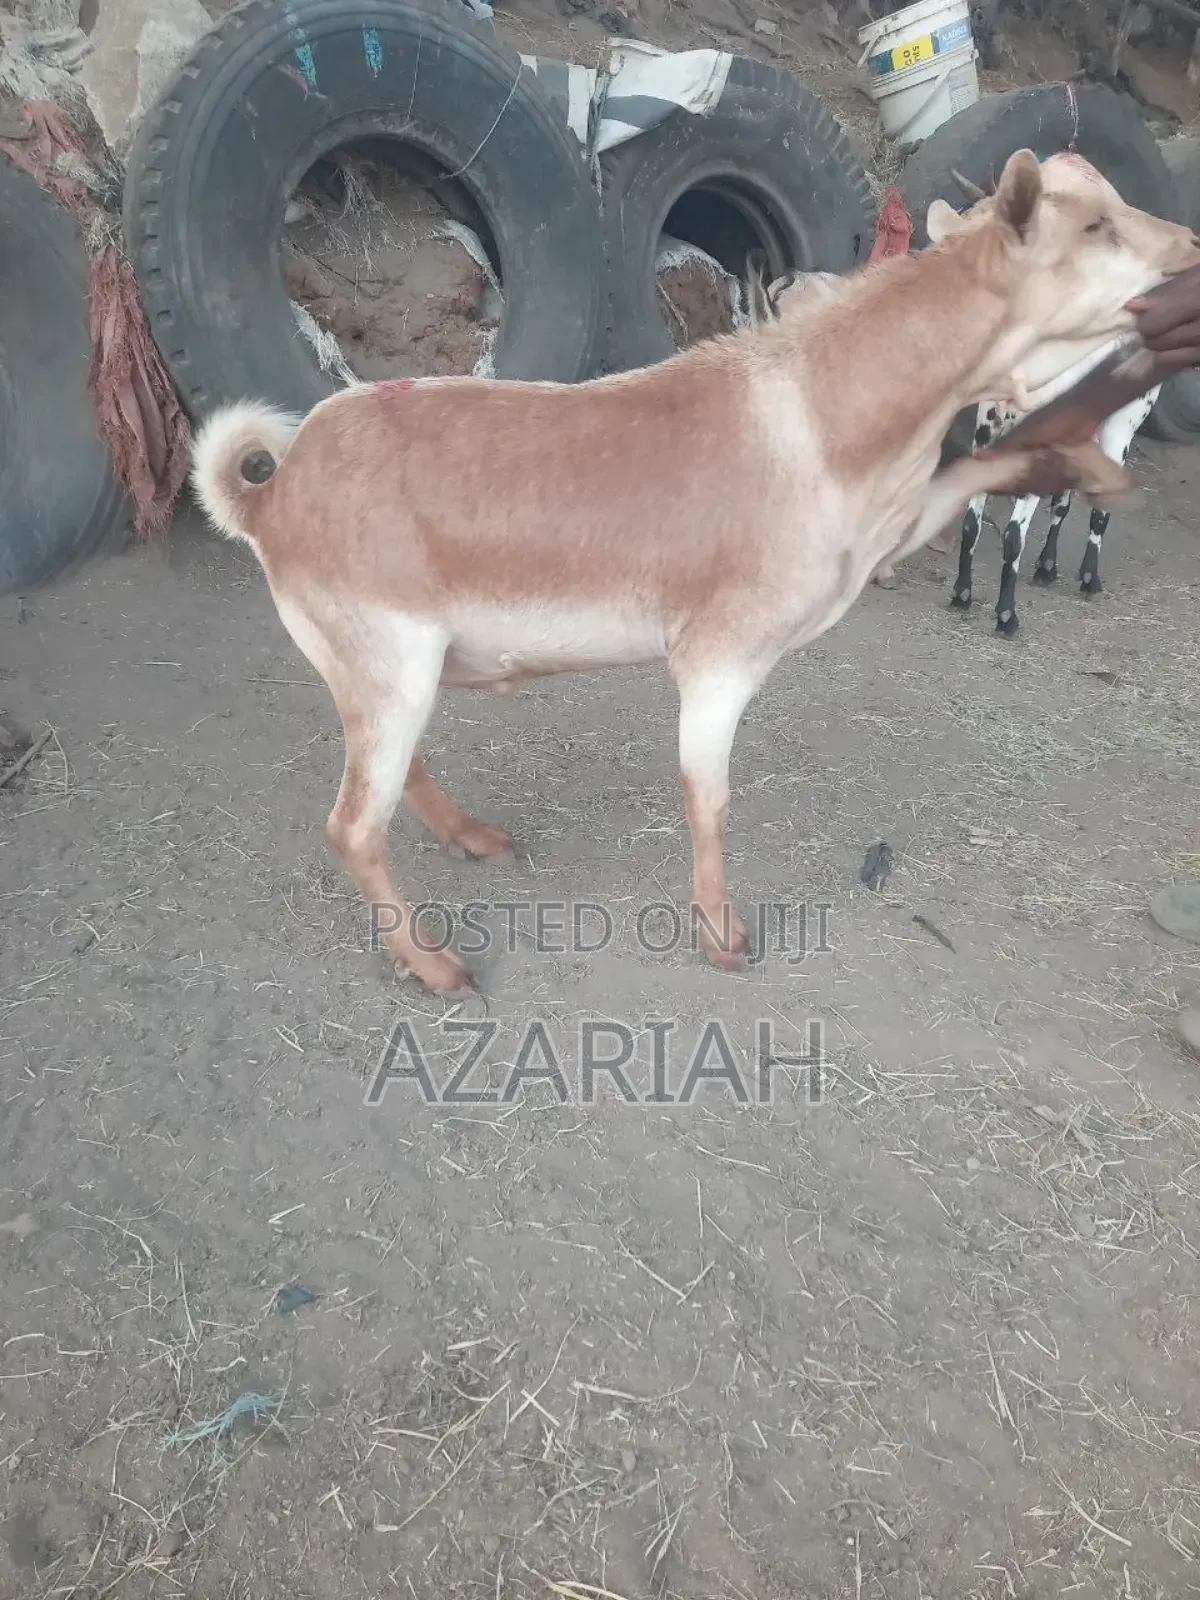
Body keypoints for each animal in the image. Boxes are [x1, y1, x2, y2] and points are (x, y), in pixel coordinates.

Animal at [190, 150, 1199, 994]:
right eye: (1095, 225)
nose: (1190, 248)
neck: (823, 412)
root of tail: (271, 496)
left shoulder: (887, 522)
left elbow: (974, 479)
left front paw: (1081, 465)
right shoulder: (720, 653)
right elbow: (708, 798)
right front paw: (722, 936)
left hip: (387, 666)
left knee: (396, 774)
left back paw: (473, 837)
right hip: (388, 655)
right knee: (354, 826)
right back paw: (435, 964)